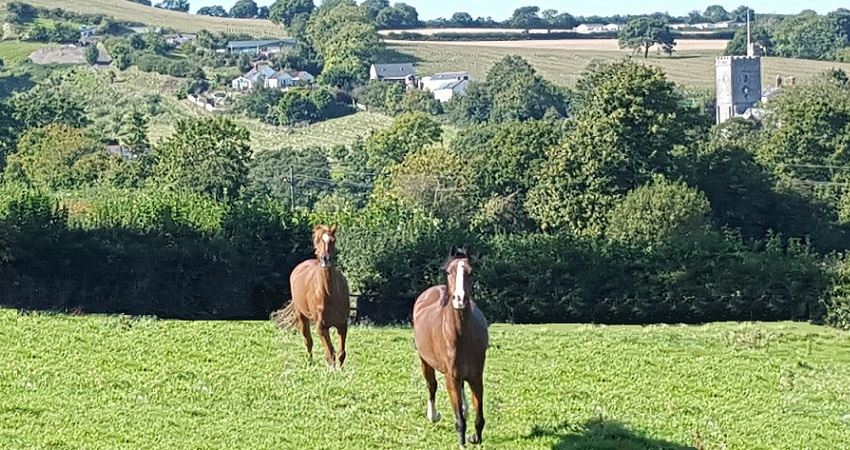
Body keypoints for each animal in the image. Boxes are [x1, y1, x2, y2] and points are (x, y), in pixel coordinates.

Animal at [275, 224, 350, 368]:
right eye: (316, 241)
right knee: (308, 341)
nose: (325, 259)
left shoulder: (342, 325)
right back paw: (309, 363)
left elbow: (341, 353)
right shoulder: (321, 327)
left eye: (333, 240)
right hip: (302, 317)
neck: (330, 294)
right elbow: (330, 354)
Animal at [412, 246, 489, 446]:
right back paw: (433, 416)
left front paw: (475, 437)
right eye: (448, 272)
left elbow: (479, 416)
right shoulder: (451, 378)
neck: (460, 335)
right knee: (431, 385)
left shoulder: (476, 377)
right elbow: (459, 420)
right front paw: (462, 441)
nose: (459, 299)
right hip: (425, 361)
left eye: (471, 272)